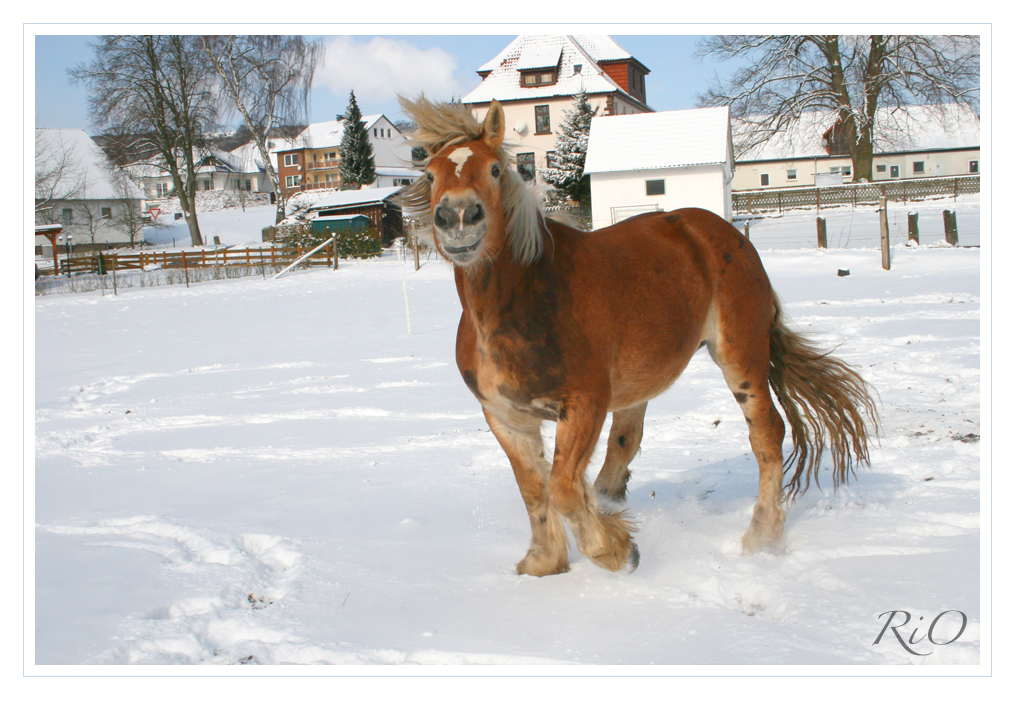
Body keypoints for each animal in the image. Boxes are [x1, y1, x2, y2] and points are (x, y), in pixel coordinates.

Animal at [400, 92, 877, 572]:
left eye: (495, 170)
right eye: (430, 174)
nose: (458, 217)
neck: (520, 301)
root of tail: (727, 235)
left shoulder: (584, 404)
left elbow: (563, 488)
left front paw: (617, 551)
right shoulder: (505, 417)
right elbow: (535, 491)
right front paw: (544, 563)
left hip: (740, 356)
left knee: (767, 435)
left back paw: (762, 536)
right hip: (637, 382)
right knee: (625, 444)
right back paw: (612, 501)